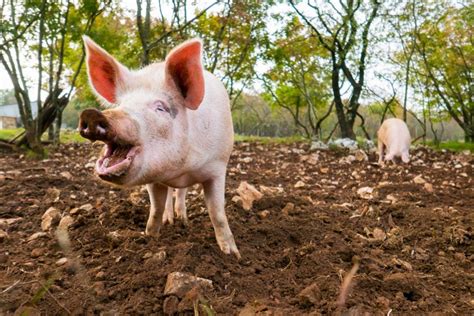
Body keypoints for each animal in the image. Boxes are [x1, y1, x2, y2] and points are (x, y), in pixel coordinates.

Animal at [79, 36, 241, 260]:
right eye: (122, 104)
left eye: (160, 108)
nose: (92, 114)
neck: (181, 169)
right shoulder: (153, 179)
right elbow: (155, 208)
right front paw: (149, 238)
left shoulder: (218, 167)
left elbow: (217, 213)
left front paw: (233, 255)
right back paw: (170, 220)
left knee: (181, 193)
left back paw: (183, 220)